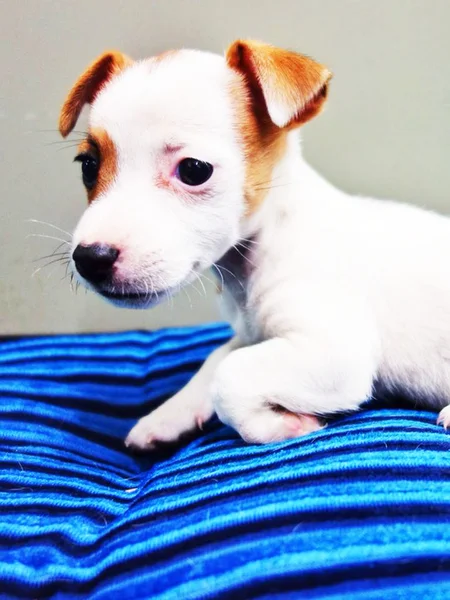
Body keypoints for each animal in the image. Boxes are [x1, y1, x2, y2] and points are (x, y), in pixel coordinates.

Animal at [59, 39, 450, 448]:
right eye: (88, 166)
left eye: (194, 170)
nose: (90, 258)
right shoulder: (251, 336)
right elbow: (215, 359)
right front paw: (167, 416)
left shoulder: (337, 353)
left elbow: (229, 376)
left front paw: (278, 424)